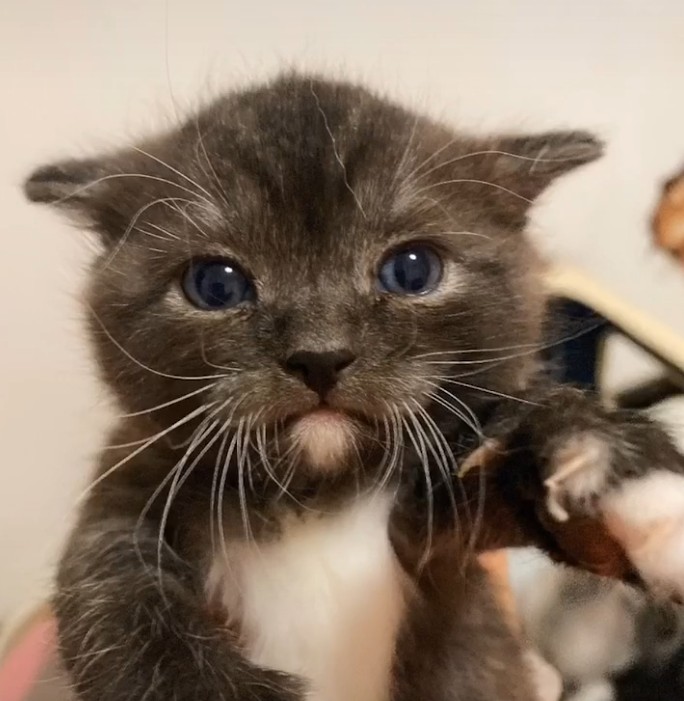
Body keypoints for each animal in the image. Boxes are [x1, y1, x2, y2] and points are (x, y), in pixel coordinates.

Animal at [24, 72, 684, 700]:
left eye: (412, 270)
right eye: (215, 284)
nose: (320, 356)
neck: (315, 499)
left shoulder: (432, 525)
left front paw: (625, 478)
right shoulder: (128, 479)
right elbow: (106, 583)